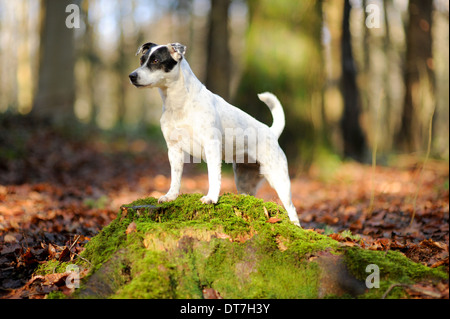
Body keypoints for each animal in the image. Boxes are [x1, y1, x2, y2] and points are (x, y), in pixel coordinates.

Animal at [128, 42, 300, 228]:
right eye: (142, 60)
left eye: (155, 60)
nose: (132, 76)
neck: (179, 104)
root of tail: (271, 132)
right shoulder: (174, 149)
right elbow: (175, 177)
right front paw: (170, 196)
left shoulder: (211, 146)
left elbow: (213, 175)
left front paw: (211, 198)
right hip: (245, 179)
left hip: (279, 178)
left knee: (291, 208)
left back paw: (296, 226)